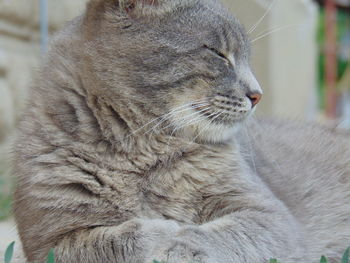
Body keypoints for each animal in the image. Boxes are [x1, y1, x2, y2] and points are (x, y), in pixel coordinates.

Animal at [12, 0, 348, 263]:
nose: (258, 94)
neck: (142, 153)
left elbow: (221, 236)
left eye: (247, 58)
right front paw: (162, 232)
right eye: (218, 53)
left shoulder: (268, 214)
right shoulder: (50, 241)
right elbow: (112, 241)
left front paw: (179, 243)